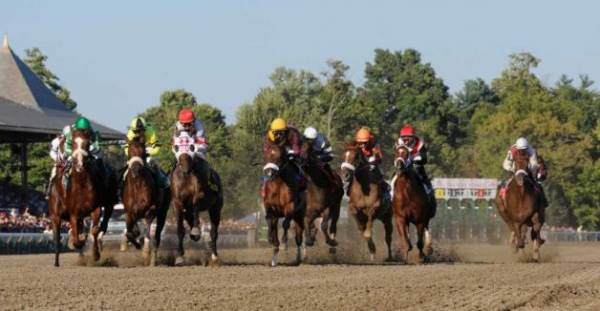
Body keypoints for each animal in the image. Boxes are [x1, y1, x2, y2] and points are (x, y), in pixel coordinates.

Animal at [48, 129, 100, 266]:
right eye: (74, 144)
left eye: (88, 143)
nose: (80, 164)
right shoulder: (73, 214)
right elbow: (76, 238)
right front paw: (77, 241)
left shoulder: (95, 209)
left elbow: (94, 230)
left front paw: (96, 255)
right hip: (55, 216)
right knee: (57, 239)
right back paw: (56, 262)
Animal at [122, 138, 169, 266]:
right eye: (129, 151)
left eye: (143, 152)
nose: (135, 170)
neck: (137, 185)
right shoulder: (129, 212)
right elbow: (130, 232)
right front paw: (135, 243)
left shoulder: (150, 210)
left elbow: (147, 232)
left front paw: (145, 253)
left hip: (162, 213)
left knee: (156, 237)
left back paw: (152, 260)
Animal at [170, 133, 224, 266]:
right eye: (177, 146)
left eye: (191, 146)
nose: (185, 169)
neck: (186, 176)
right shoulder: (177, 203)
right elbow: (180, 230)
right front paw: (179, 256)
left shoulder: (199, 195)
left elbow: (195, 204)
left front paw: (195, 231)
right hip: (188, 212)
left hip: (215, 208)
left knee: (213, 232)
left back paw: (214, 257)